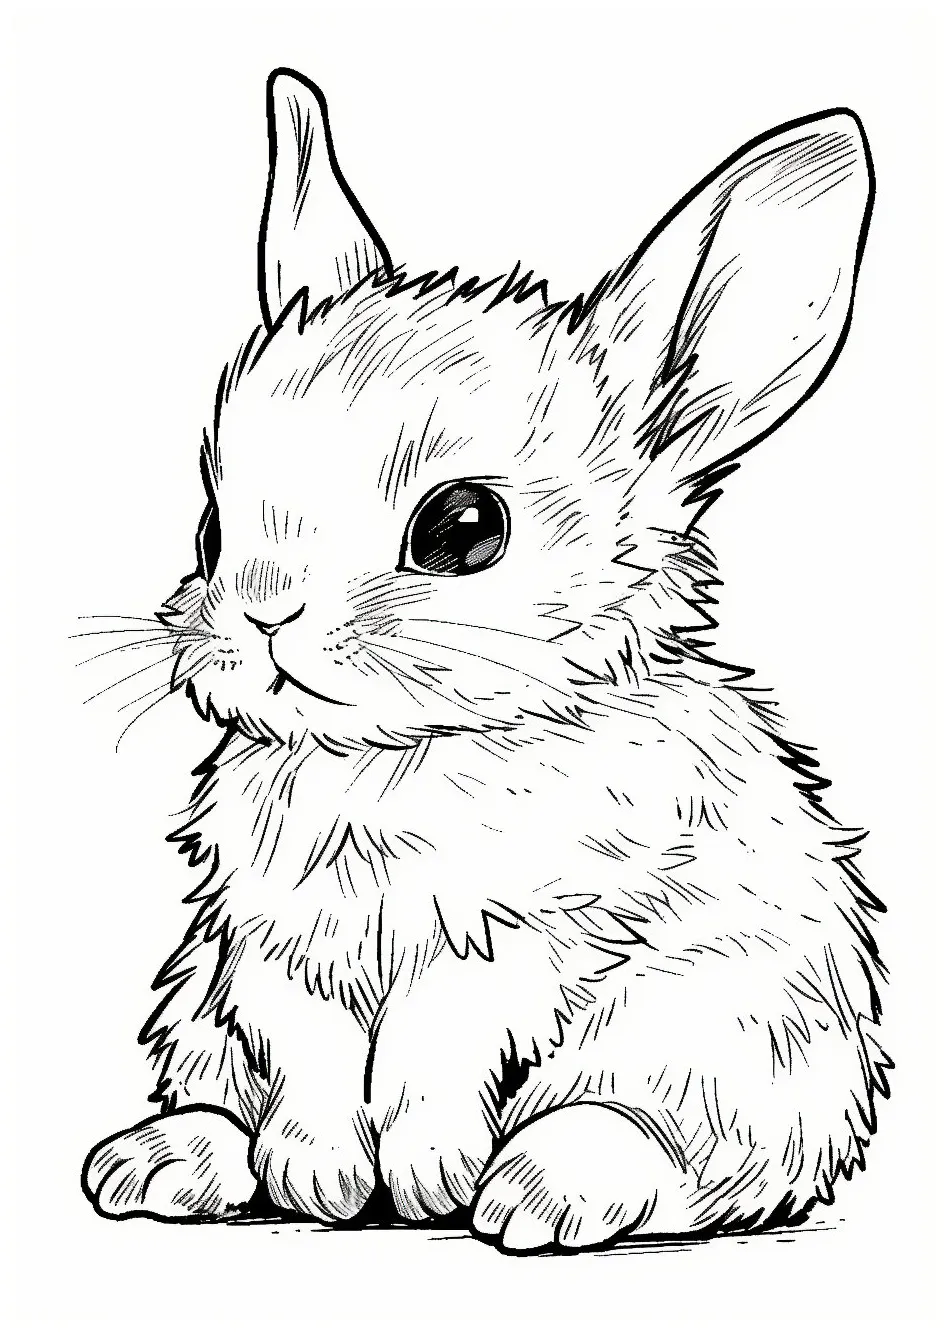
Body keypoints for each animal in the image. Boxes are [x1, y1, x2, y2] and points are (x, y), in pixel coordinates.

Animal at [81, 68, 890, 1251]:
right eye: (211, 527)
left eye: (465, 529)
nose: (264, 619)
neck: (393, 755)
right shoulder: (269, 952)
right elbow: (313, 1059)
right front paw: (322, 1178)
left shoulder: (522, 940)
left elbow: (435, 1047)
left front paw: (422, 1177)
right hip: (201, 1025)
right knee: (221, 1106)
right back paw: (157, 1165)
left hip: (725, 1059)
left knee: (667, 1159)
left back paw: (536, 1195)